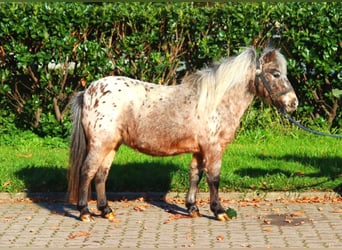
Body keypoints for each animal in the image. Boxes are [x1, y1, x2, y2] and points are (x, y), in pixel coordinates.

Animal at [67, 47, 296, 222]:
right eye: (276, 73)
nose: (293, 103)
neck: (214, 102)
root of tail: (88, 92)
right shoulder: (213, 149)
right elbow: (214, 178)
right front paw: (219, 211)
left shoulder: (199, 150)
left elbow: (196, 175)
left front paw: (192, 208)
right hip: (99, 145)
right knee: (87, 172)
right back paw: (85, 212)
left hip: (111, 145)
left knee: (101, 174)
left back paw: (106, 210)